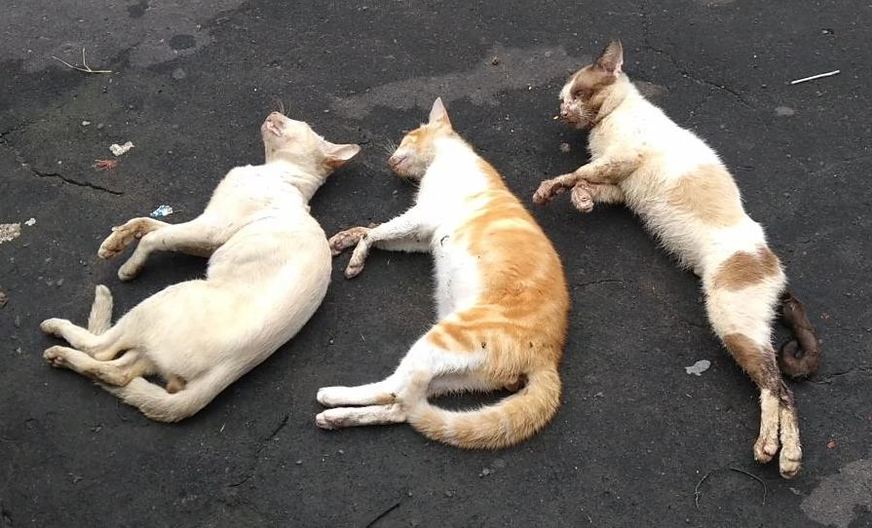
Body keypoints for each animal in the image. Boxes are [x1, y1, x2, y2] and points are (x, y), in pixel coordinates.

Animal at [39, 112, 359, 422]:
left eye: (298, 123)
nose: (275, 112)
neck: (278, 174)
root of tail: (230, 368)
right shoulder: (204, 235)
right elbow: (147, 224)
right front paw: (113, 244)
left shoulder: (211, 229)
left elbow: (153, 238)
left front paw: (129, 267)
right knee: (116, 372)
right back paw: (64, 356)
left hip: (163, 299)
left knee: (102, 350)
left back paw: (59, 332)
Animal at [317, 98, 569, 448]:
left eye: (407, 137)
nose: (390, 160)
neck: (449, 156)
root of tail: (549, 359)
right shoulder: (421, 236)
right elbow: (375, 232)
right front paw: (344, 240)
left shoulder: (422, 216)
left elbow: (377, 231)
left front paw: (355, 258)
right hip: (455, 373)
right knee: (400, 405)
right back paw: (336, 417)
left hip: (443, 340)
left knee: (396, 391)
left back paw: (332, 398)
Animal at [532, 41, 820, 478]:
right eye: (563, 99)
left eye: (578, 93)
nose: (564, 110)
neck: (606, 122)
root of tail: (774, 266)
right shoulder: (619, 187)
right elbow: (586, 183)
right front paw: (580, 200)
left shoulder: (622, 159)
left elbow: (577, 172)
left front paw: (551, 189)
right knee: (776, 387)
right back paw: (781, 453)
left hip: (731, 324)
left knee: (778, 388)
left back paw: (779, 453)